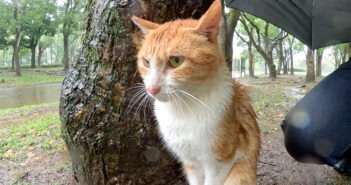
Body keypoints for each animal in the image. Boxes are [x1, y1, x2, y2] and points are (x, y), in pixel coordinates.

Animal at [132, 0, 262, 184]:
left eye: (176, 60)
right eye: (146, 62)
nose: (152, 88)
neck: (184, 109)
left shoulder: (219, 163)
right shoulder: (190, 163)